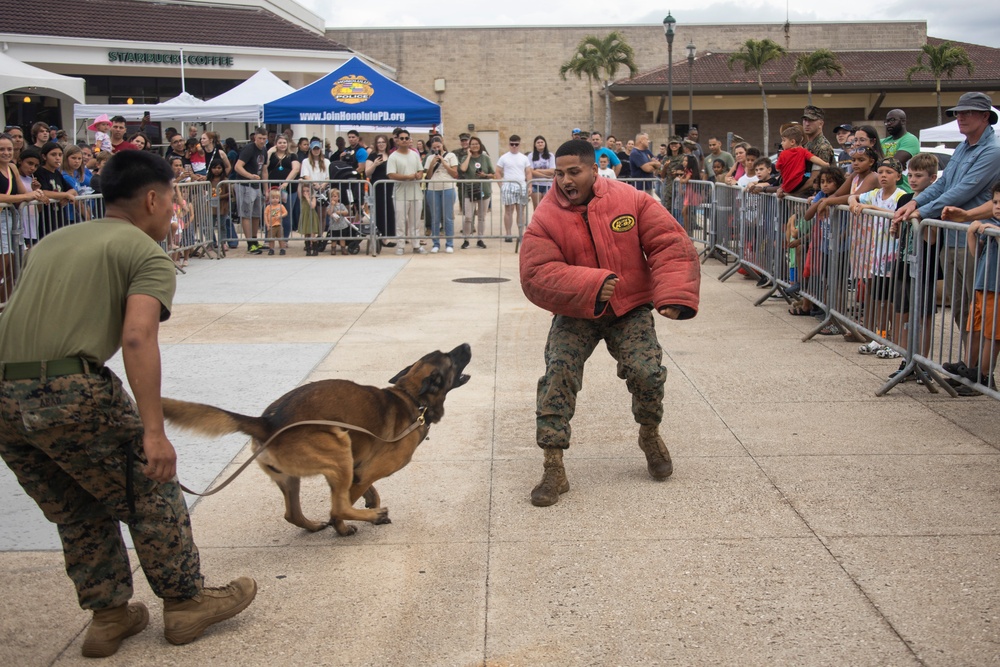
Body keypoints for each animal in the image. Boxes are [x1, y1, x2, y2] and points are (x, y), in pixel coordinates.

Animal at [163, 344, 472, 536]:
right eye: (450, 357)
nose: (467, 345)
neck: (411, 398)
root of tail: (268, 423)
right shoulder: (365, 471)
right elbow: (343, 503)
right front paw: (344, 527)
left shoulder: (357, 469)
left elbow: (364, 490)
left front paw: (367, 504)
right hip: (339, 445)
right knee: (336, 506)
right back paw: (367, 519)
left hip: (294, 476)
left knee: (292, 514)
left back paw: (313, 526)